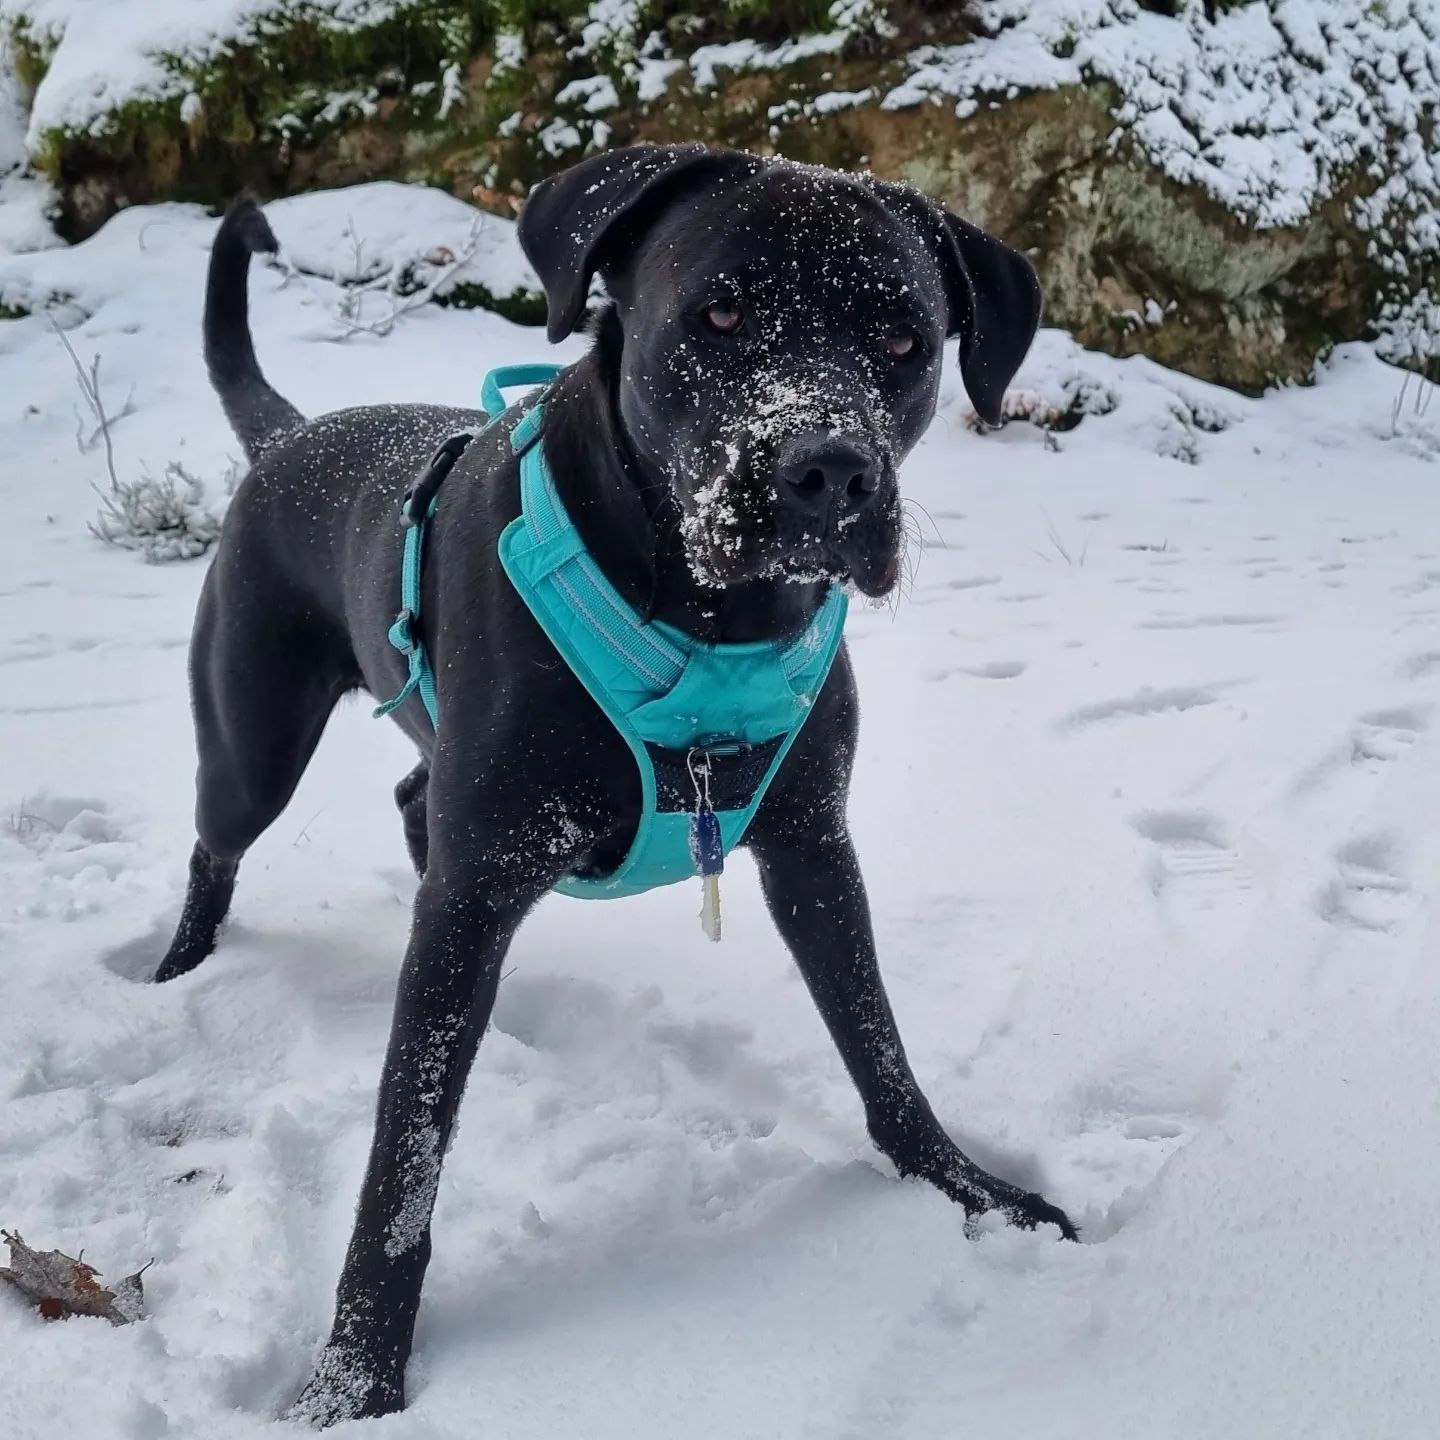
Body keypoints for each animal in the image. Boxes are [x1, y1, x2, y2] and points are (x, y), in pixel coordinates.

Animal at [160, 140, 1071, 1422]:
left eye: (903, 340)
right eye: (720, 312)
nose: (830, 472)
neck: (708, 621)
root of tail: (293, 434)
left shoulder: (811, 844)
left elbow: (879, 1045)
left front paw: (967, 1190)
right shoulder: (481, 880)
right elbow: (401, 1165)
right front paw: (352, 1382)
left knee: (411, 811)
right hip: (253, 741)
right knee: (217, 845)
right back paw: (176, 978)